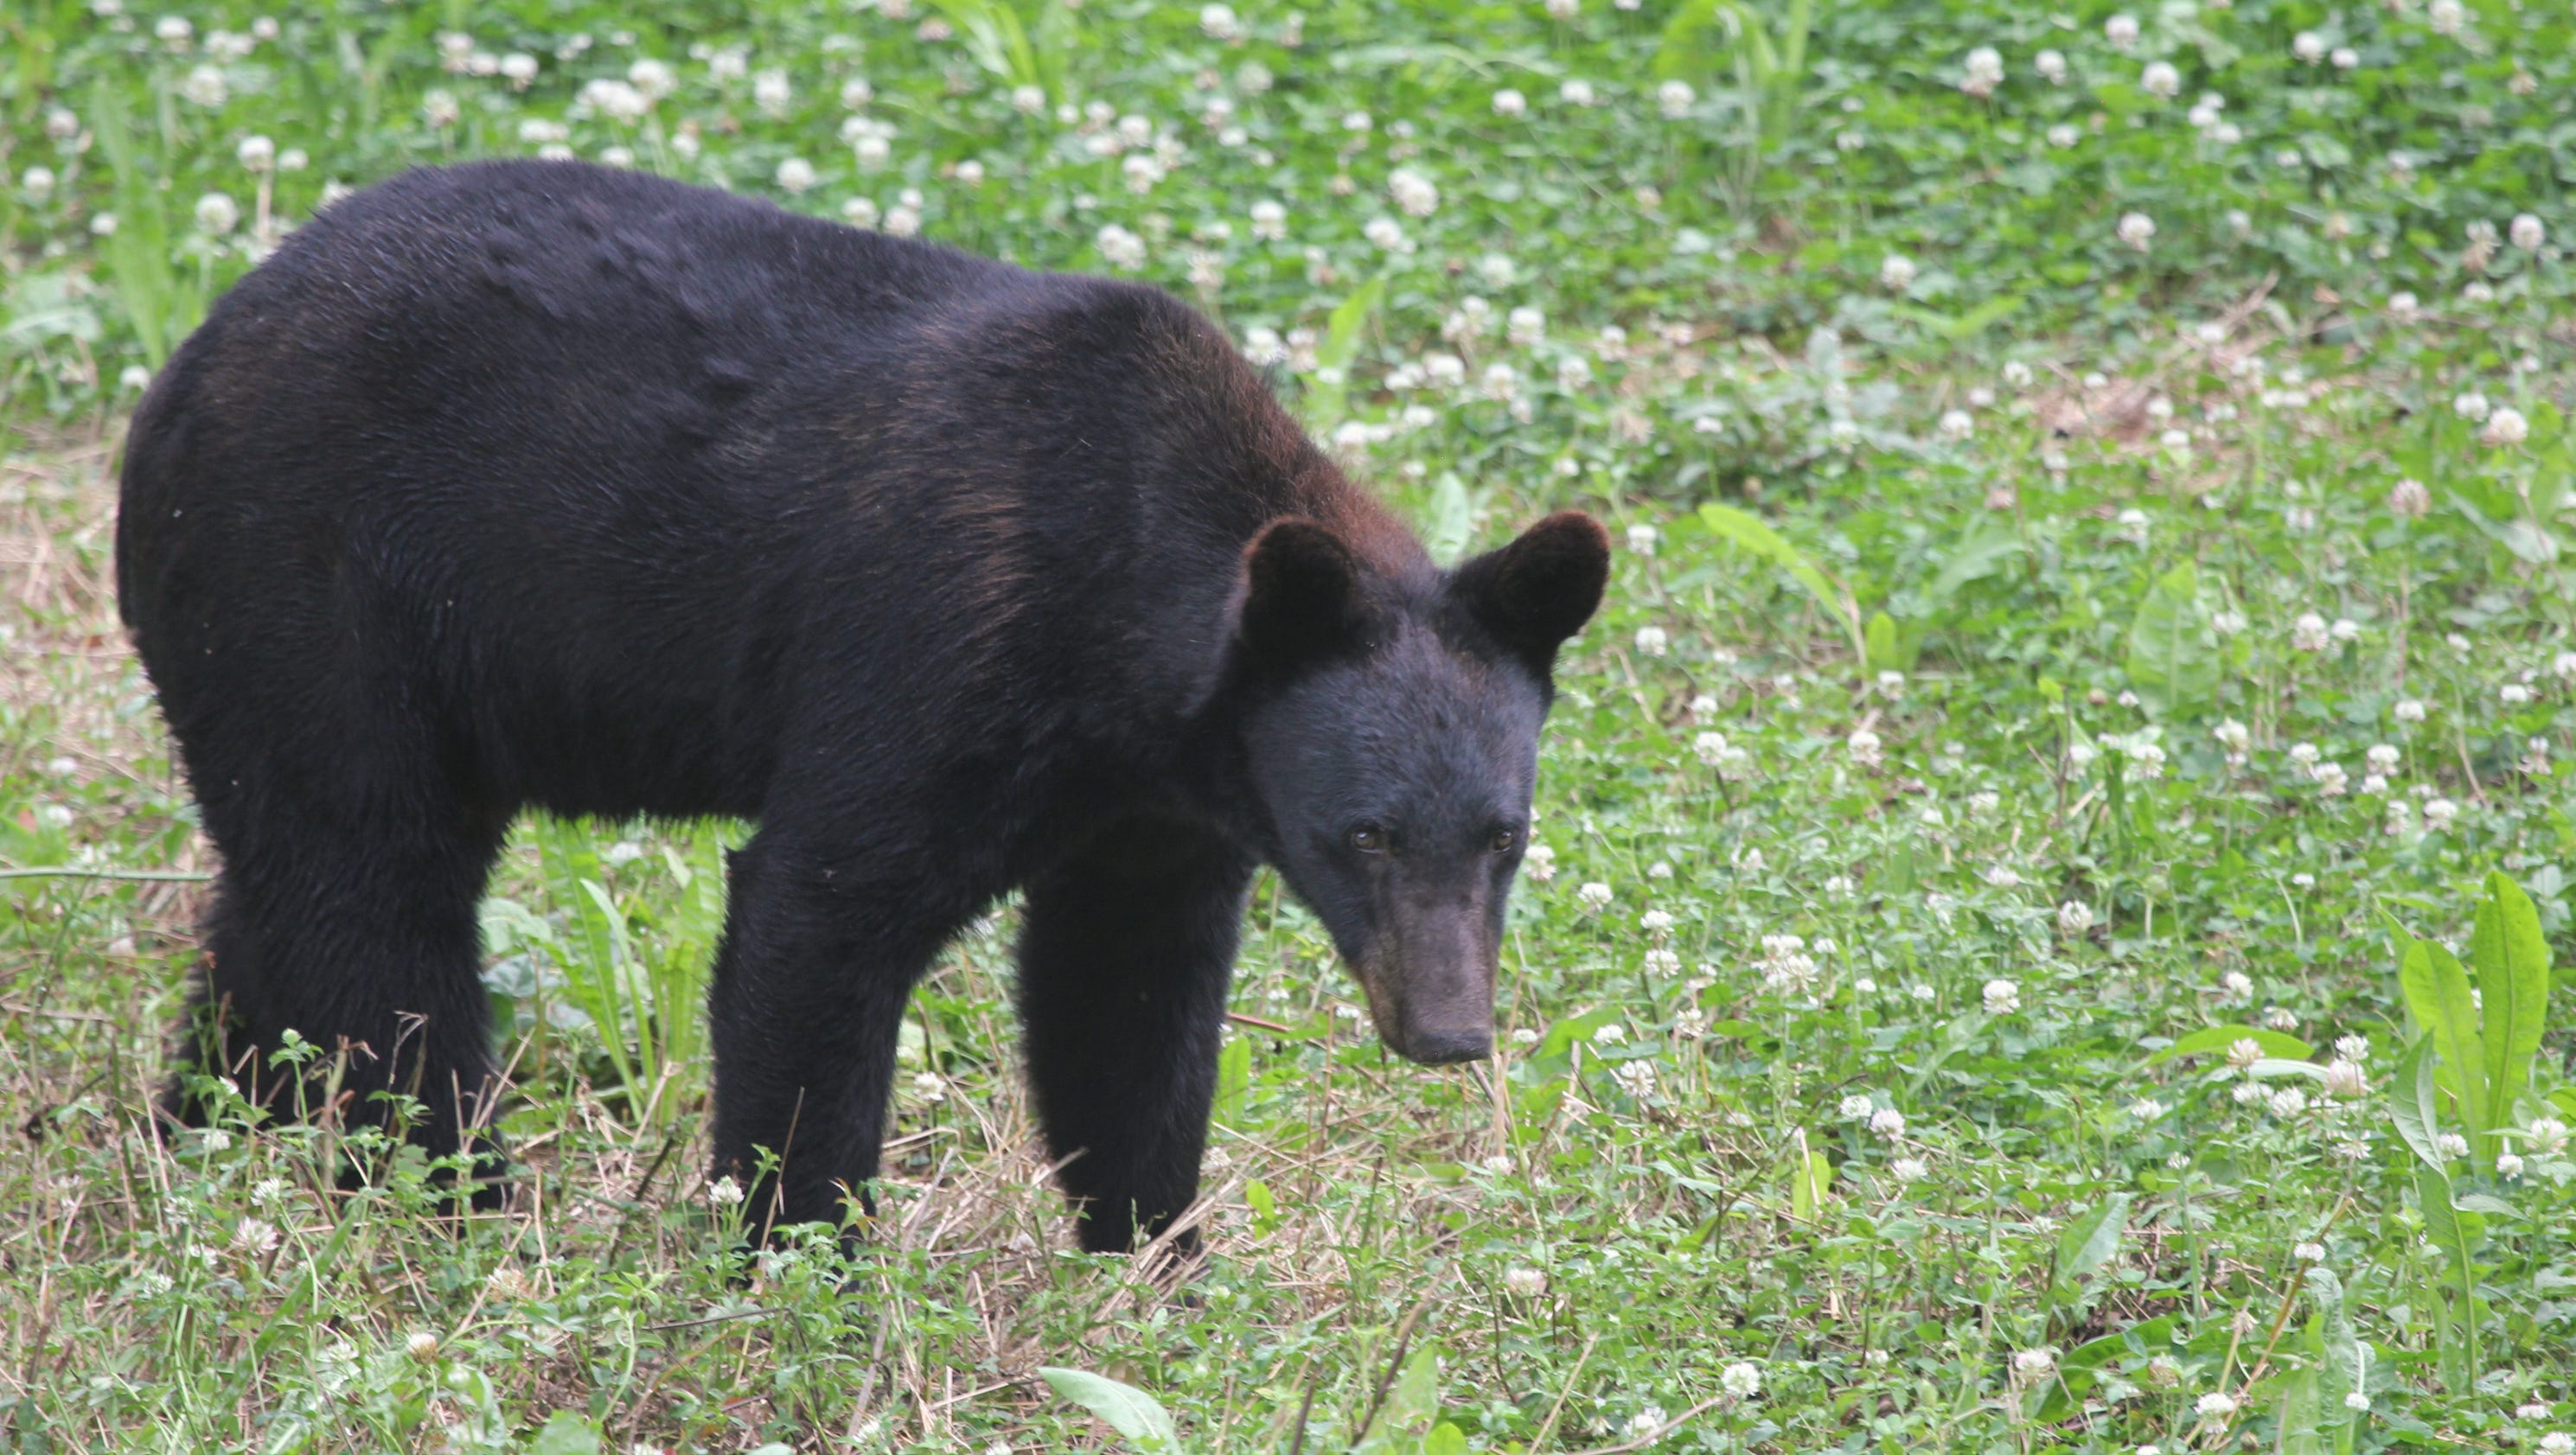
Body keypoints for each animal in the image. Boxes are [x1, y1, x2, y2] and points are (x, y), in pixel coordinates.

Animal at [116, 159, 1608, 1253]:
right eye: (1363, 832)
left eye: (1503, 836)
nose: (1447, 1032)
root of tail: (186, 363)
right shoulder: (936, 649)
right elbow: (815, 922)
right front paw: (798, 1271)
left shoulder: (1161, 805)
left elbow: (1126, 999)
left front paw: (1153, 1263)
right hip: (312, 593)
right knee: (375, 905)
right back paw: (459, 1210)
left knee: (282, 902)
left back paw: (199, 1136)